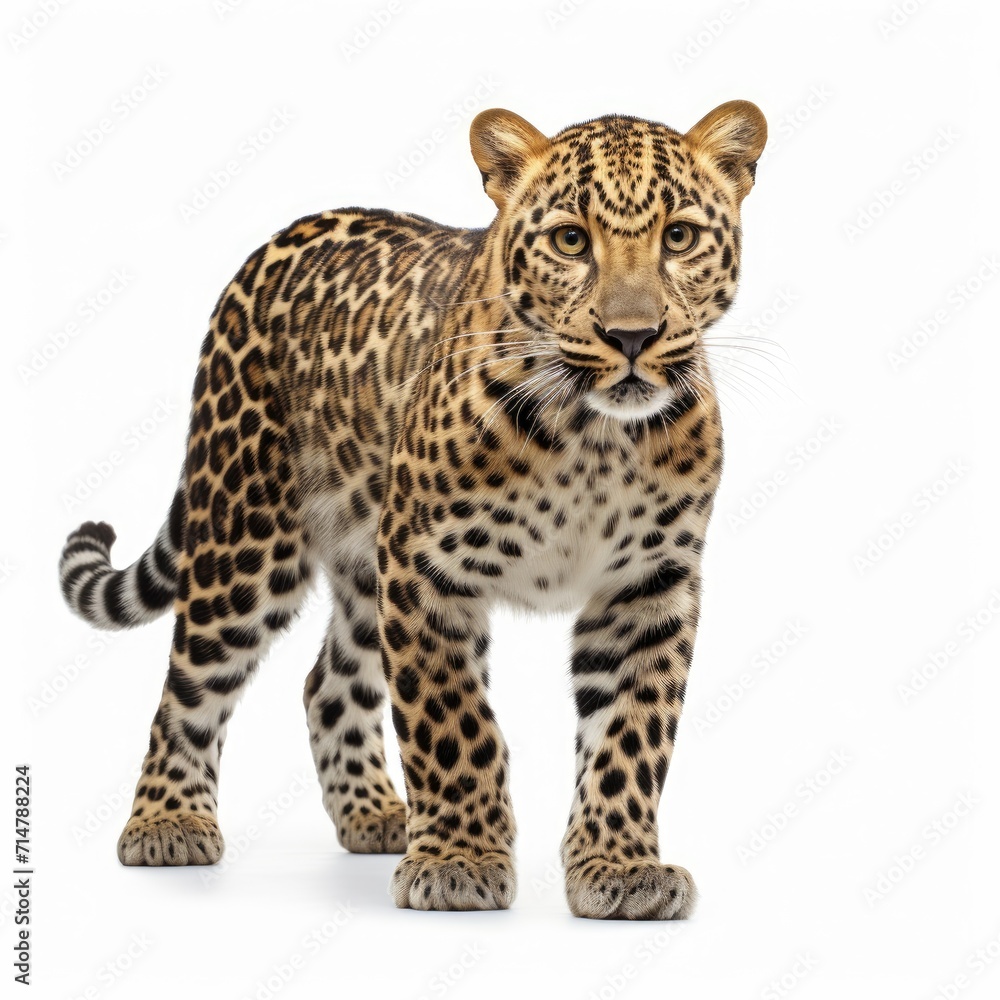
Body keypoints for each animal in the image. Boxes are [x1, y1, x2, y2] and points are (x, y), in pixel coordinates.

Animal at [58, 100, 767, 919]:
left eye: (678, 237)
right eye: (570, 240)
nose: (632, 336)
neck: (596, 439)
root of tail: (272, 244)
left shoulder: (648, 587)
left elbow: (631, 735)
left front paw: (619, 868)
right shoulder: (426, 567)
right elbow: (452, 724)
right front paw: (460, 861)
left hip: (362, 563)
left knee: (327, 684)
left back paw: (375, 814)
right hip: (247, 535)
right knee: (190, 681)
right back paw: (166, 822)